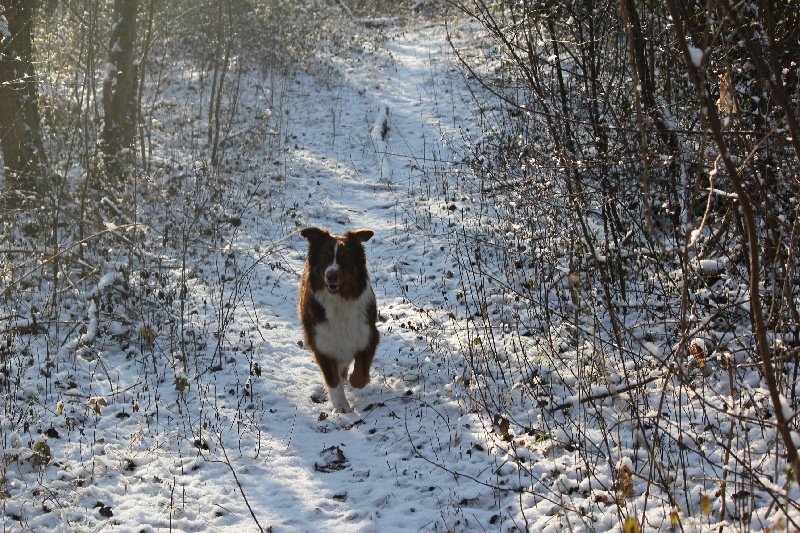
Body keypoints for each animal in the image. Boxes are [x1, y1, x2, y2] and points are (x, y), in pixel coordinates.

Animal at [298, 227, 379, 413]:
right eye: (324, 259)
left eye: (345, 259)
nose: (331, 276)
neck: (339, 301)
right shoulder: (321, 342)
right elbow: (332, 379)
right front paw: (341, 406)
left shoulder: (368, 335)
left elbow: (360, 375)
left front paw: (354, 381)